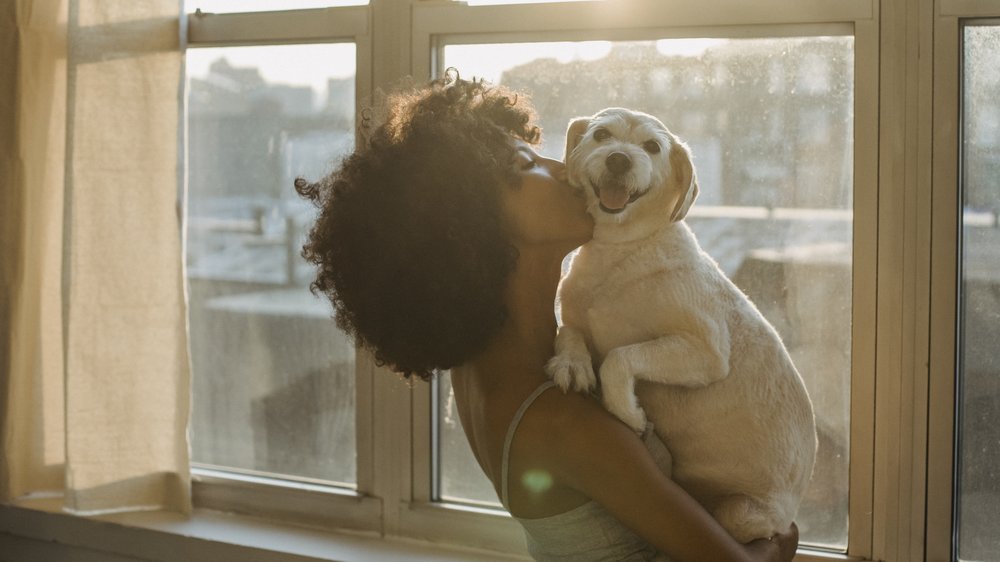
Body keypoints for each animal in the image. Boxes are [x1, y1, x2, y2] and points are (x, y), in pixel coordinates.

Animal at [548, 107, 820, 540]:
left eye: (652, 146)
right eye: (601, 135)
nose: (619, 159)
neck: (621, 251)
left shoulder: (705, 351)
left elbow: (620, 357)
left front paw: (628, 413)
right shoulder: (576, 316)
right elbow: (569, 331)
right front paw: (572, 364)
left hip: (742, 514)